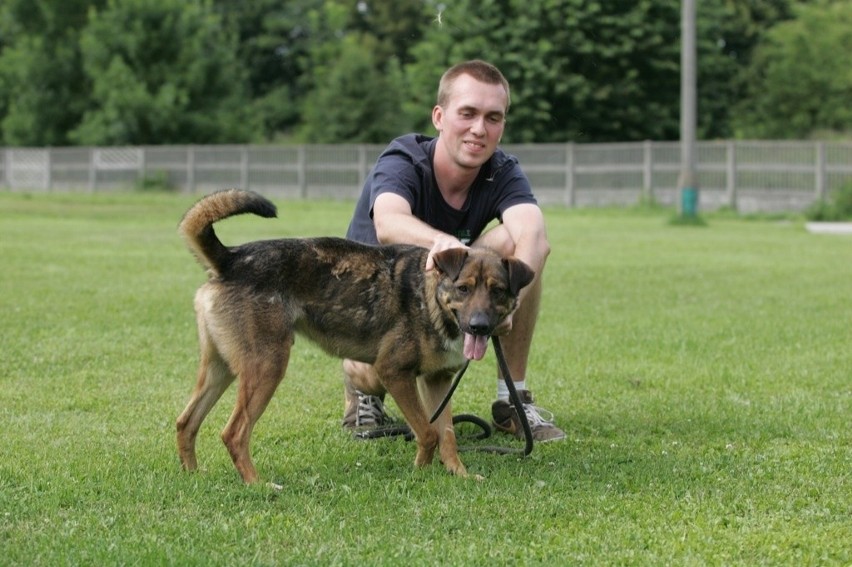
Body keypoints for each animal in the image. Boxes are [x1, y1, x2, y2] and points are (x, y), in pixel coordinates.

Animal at [174, 191, 532, 484]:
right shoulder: (394, 372)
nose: (479, 326)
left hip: (221, 370)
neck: (431, 297)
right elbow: (429, 432)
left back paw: (193, 476)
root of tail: (230, 258)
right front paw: (420, 472)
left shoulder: (437, 381)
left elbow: (447, 434)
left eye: (498, 291)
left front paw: (459, 474)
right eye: (464, 289)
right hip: (267, 367)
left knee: (186, 422)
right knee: (234, 434)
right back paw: (257, 484)